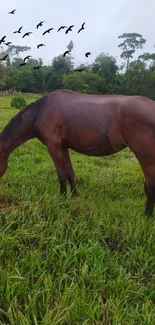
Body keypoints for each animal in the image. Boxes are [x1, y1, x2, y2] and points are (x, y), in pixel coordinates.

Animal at [0, 88, 155, 215]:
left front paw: (62, 199)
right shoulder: (63, 147)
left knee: (151, 184)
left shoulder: (53, 147)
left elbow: (61, 175)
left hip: (145, 155)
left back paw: (147, 216)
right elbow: (70, 174)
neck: (40, 113)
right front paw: (74, 197)